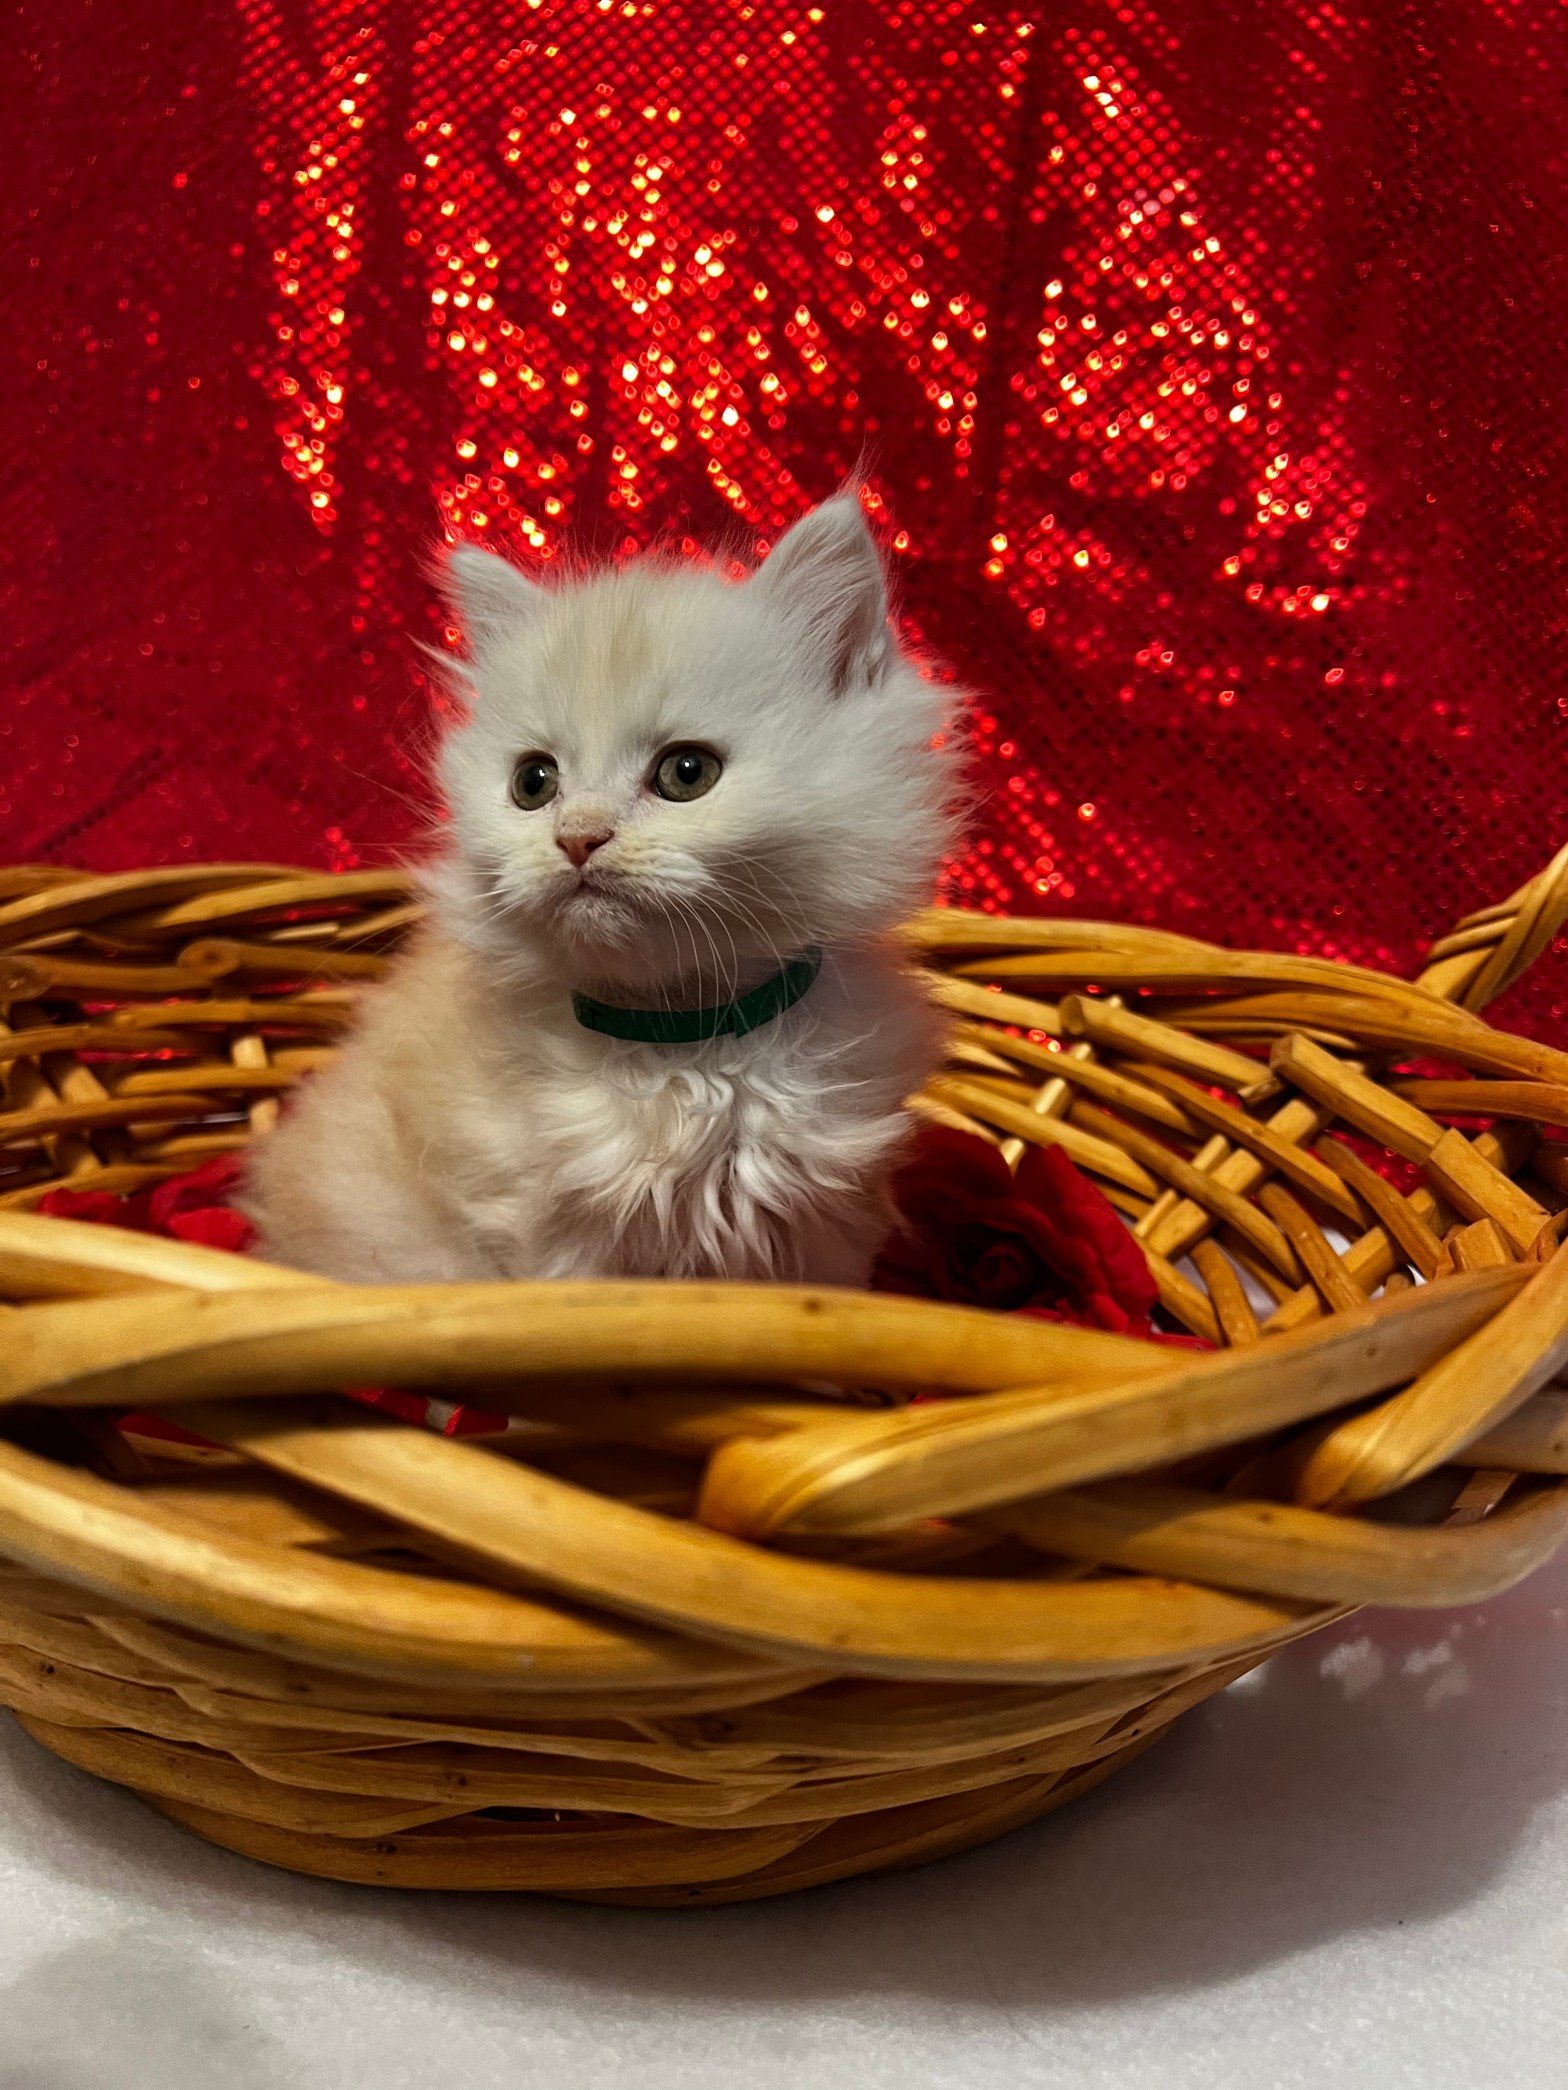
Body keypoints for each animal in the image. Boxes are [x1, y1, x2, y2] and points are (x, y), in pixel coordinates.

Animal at [242, 492, 964, 1287]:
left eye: (687, 773)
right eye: (533, 783)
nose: (578, 838)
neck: (684, 1046)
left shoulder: (823, 1230)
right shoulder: (552, 1238)